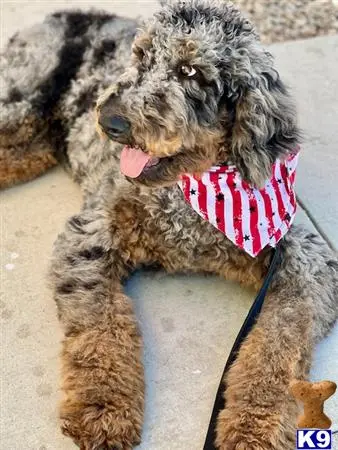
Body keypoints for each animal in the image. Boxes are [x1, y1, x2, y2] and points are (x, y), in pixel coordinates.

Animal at [0, 0, 338, 450]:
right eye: (141, 56)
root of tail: (61, 15)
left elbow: (277, 340)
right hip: (18, 109)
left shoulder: (304, 261)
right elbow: (101, 328)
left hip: (33, 142)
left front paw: (254, 427)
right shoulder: (89, 235)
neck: (190, 192)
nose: (109, 121)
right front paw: (104, 409)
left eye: (190, 71)